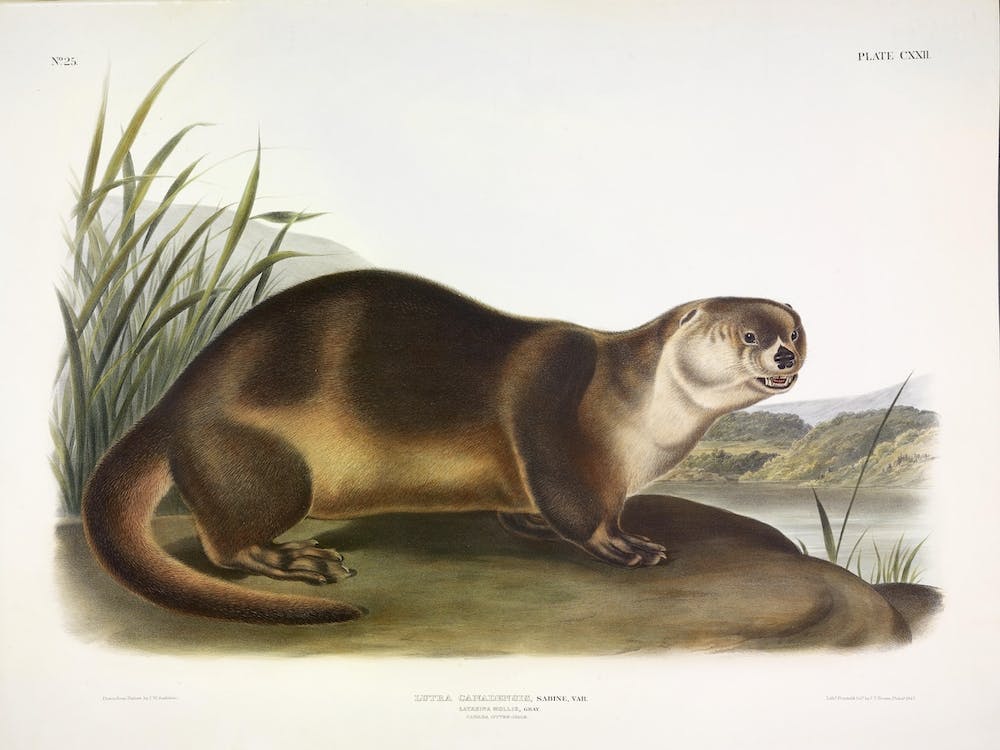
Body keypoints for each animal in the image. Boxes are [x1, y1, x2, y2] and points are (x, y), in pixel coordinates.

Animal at [81, 269, 806, 624]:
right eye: (746, 334)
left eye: (796, 329)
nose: (786, 354)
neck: (640, 417)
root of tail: (174, 401)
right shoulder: (553, 390)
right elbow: (571, 497)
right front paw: (623, 543)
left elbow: (531, 500)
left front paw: (529, 523)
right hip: (262, 460)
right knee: (225, 542)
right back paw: (293, 558)